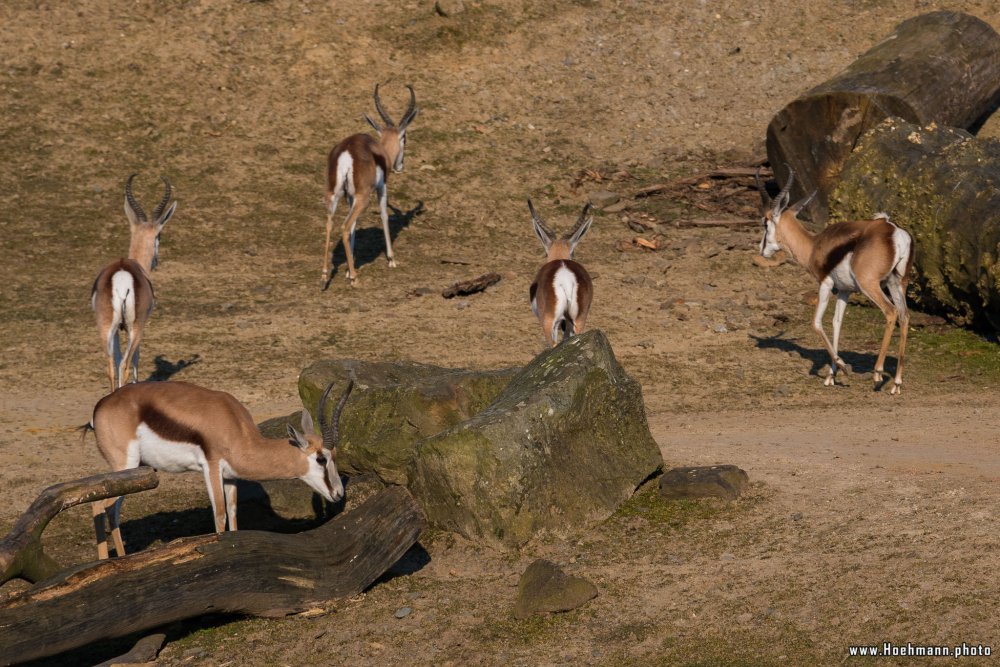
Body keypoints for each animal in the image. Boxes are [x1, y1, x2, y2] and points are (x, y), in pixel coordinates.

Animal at [84, 380, 354, 560]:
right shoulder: (211, 467)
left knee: (111, 510)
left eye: (334, 457)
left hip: (132, 473)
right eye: (321, 459)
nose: (339, 493)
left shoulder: (230, 477)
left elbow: (233, 514)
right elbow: (220, 515)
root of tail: (101, 406)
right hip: (125, 465)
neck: (236, 431)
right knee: (99, 504)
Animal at [91, 175, 177, 394]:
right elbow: (136, 358)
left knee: (111, 365)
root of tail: (122, 278)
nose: (155, 260)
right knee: (125, 364)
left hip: (105, 326)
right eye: (159, 236)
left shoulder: (116, 329)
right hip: (135, 327)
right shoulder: (140, 324)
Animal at [324, 82, 418, 286]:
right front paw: (391, 259)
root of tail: (347, 152)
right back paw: (354, 278)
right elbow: (383, 215)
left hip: (335, 195)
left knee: (330, 223)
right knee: (344, 226)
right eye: (405, 137)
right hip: (363, 198)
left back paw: (325, 274)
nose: (400, 166)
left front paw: (349, 265)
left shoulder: (351, 197)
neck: (380, 152)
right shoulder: (382, 187)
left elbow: (355, 225)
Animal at [756, 167, 916, 394]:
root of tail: (894, 232)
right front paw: (831, 375)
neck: (814, 246)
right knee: (905, 316)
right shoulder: (844, 290)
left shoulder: (825, 284)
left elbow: (816, 323)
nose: (762, 250)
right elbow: (836, 323)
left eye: (765, 222)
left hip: (871, 286)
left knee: (891, 312)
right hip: (897, 284)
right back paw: (896, 383)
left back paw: (877, 373)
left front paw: (841, 367)